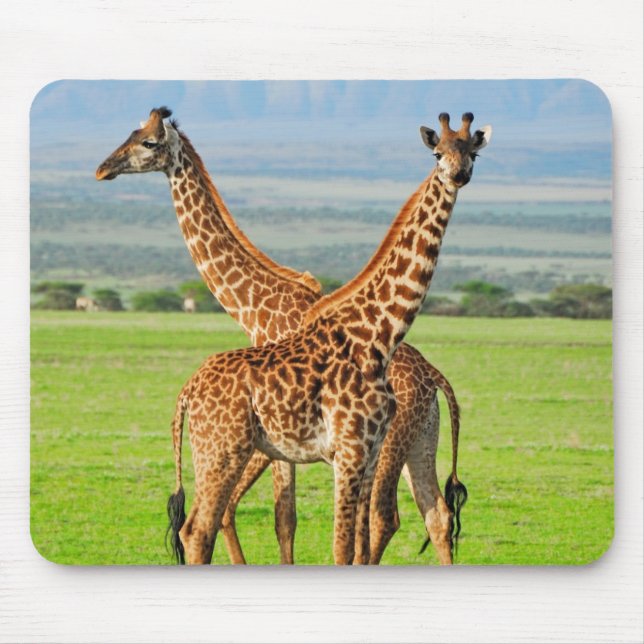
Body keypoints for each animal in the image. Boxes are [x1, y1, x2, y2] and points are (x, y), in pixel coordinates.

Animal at [96, 109, 490, 564]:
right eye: (437, 153)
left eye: (148, 142)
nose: (103, 169)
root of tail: (435, 378)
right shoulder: (321, 450)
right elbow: (288, 520)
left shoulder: (344, 451)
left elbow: (315, 532)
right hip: (406, 444)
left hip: (401, 444)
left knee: (403, 516)